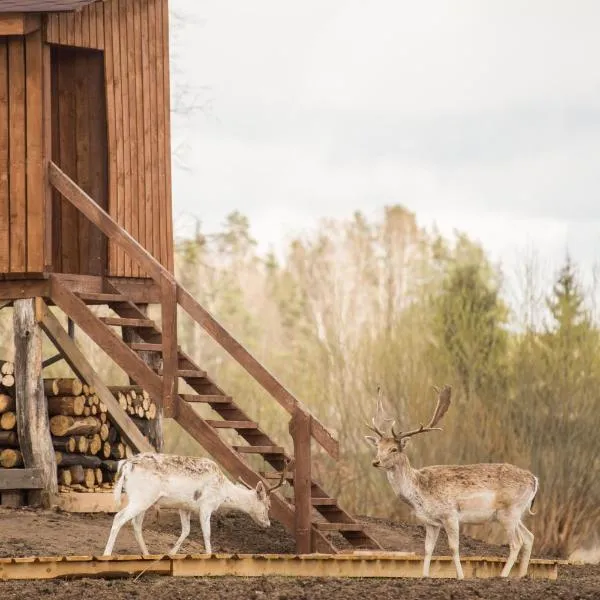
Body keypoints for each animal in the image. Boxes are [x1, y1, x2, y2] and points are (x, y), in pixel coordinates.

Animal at [101, 452, 288, 556]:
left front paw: (171, 553)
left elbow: (186, 530)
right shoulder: (206, 505)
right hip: (143, 496)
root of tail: (126, 466)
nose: (268, 524)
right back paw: (107, 553)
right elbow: (207, 533)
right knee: (119, 517)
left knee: (136, 524)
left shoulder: (185, 507)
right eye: (268, 505)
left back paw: (147, 554)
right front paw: (209, 554)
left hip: (143, 499)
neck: (223, 491)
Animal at [366, 386, 540, 580]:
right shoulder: (431, 522)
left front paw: (461, 576)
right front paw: (424, 576)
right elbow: (428, 549)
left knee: (517, 542)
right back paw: (521, 576)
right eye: (378, 447)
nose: (375, 462)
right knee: (529, 537)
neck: (419, 492)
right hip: (517, 513)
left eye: (394, 449)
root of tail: (534, 479)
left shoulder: (450, 514)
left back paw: (503, 576)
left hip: (509, 512)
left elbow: (453, 547)